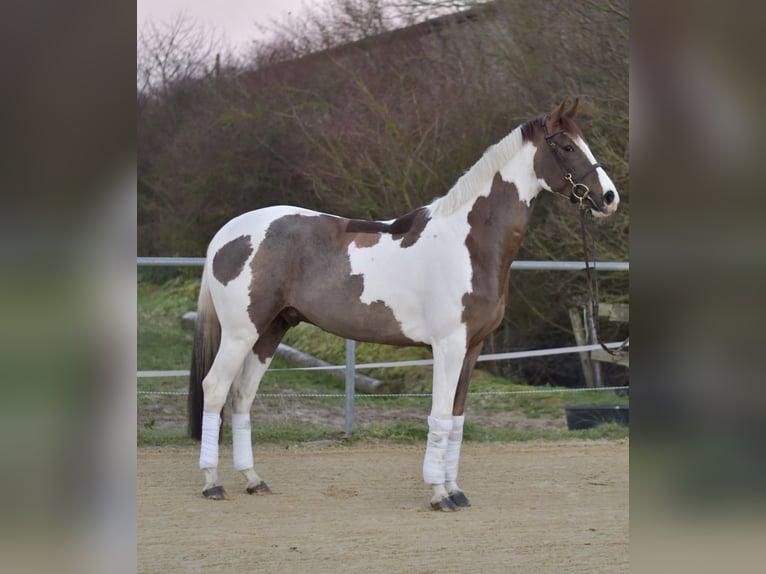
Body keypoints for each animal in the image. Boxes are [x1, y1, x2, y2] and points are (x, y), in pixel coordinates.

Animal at [187, 99, 620, 510]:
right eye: (567, 146)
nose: (609, 198)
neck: (470, 243)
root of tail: (226, 235)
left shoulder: (473, 348)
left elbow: (457, 420)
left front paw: (455, 490)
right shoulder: (448, 346)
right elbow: (440, 416)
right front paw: (439, 494)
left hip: (271, 330)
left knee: (242, 396)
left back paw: (253, 480)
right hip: (241, 333)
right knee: (215, 388)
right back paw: (212, 483)